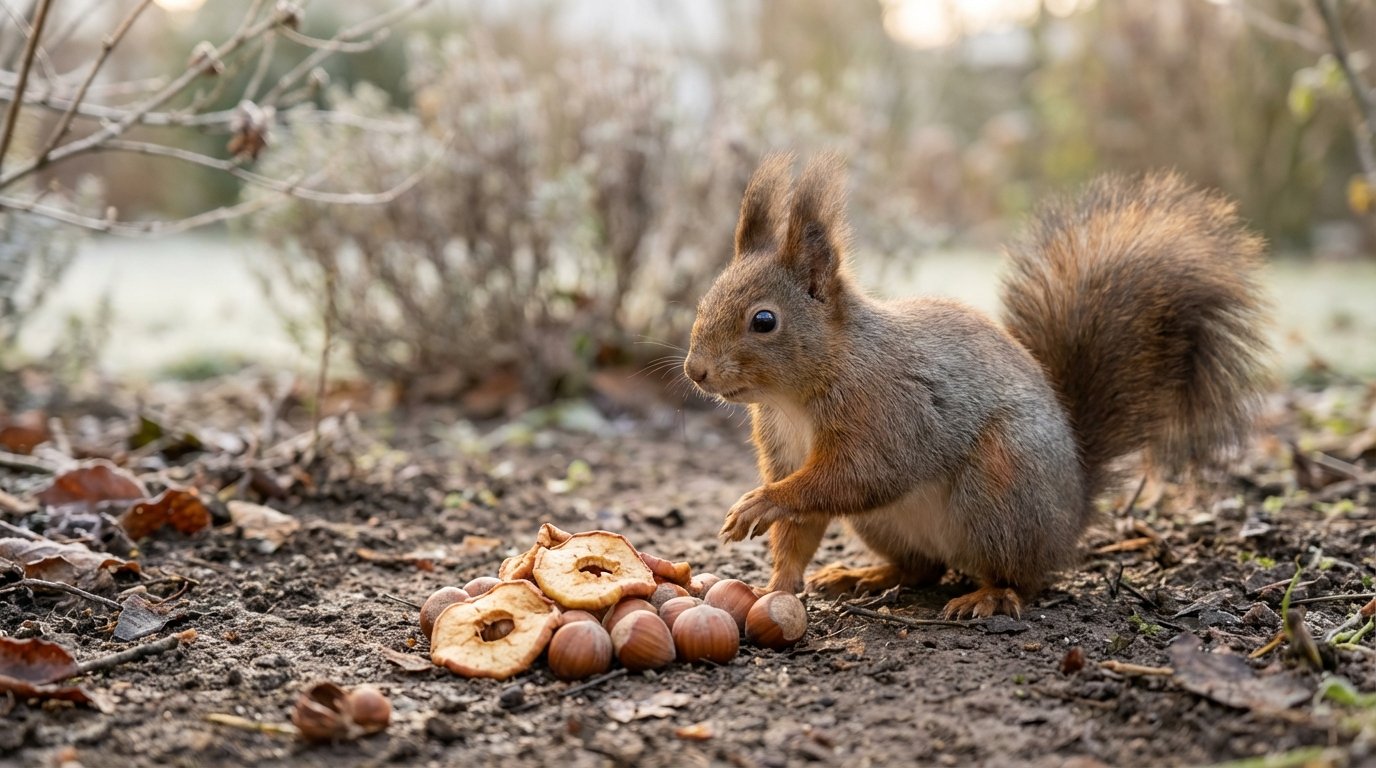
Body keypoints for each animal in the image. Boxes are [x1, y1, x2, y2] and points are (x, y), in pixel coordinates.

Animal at [683, 153, 1270, 618]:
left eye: (764, 321)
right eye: (705, 298)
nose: (695, 371)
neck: (797, 396)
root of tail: (1071, 515)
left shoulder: (890, 410)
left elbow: (857, 475)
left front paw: (761, 503)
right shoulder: (782, 445)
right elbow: (801, 530)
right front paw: (776, 585)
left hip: (998, 490)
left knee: (1022, 578)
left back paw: (990, 596)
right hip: (885, 525)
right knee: (922, 567)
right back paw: (865, 576)